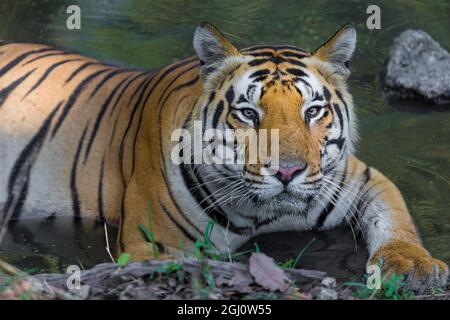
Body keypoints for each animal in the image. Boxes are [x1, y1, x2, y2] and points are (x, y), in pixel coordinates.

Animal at [0, 21, 448, 292]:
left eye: (313, 111)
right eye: (248, 113)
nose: (288, 171)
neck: (265, 215)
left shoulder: (359, 177)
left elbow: (397, 219)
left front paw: (414, 266)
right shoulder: (152, 245)